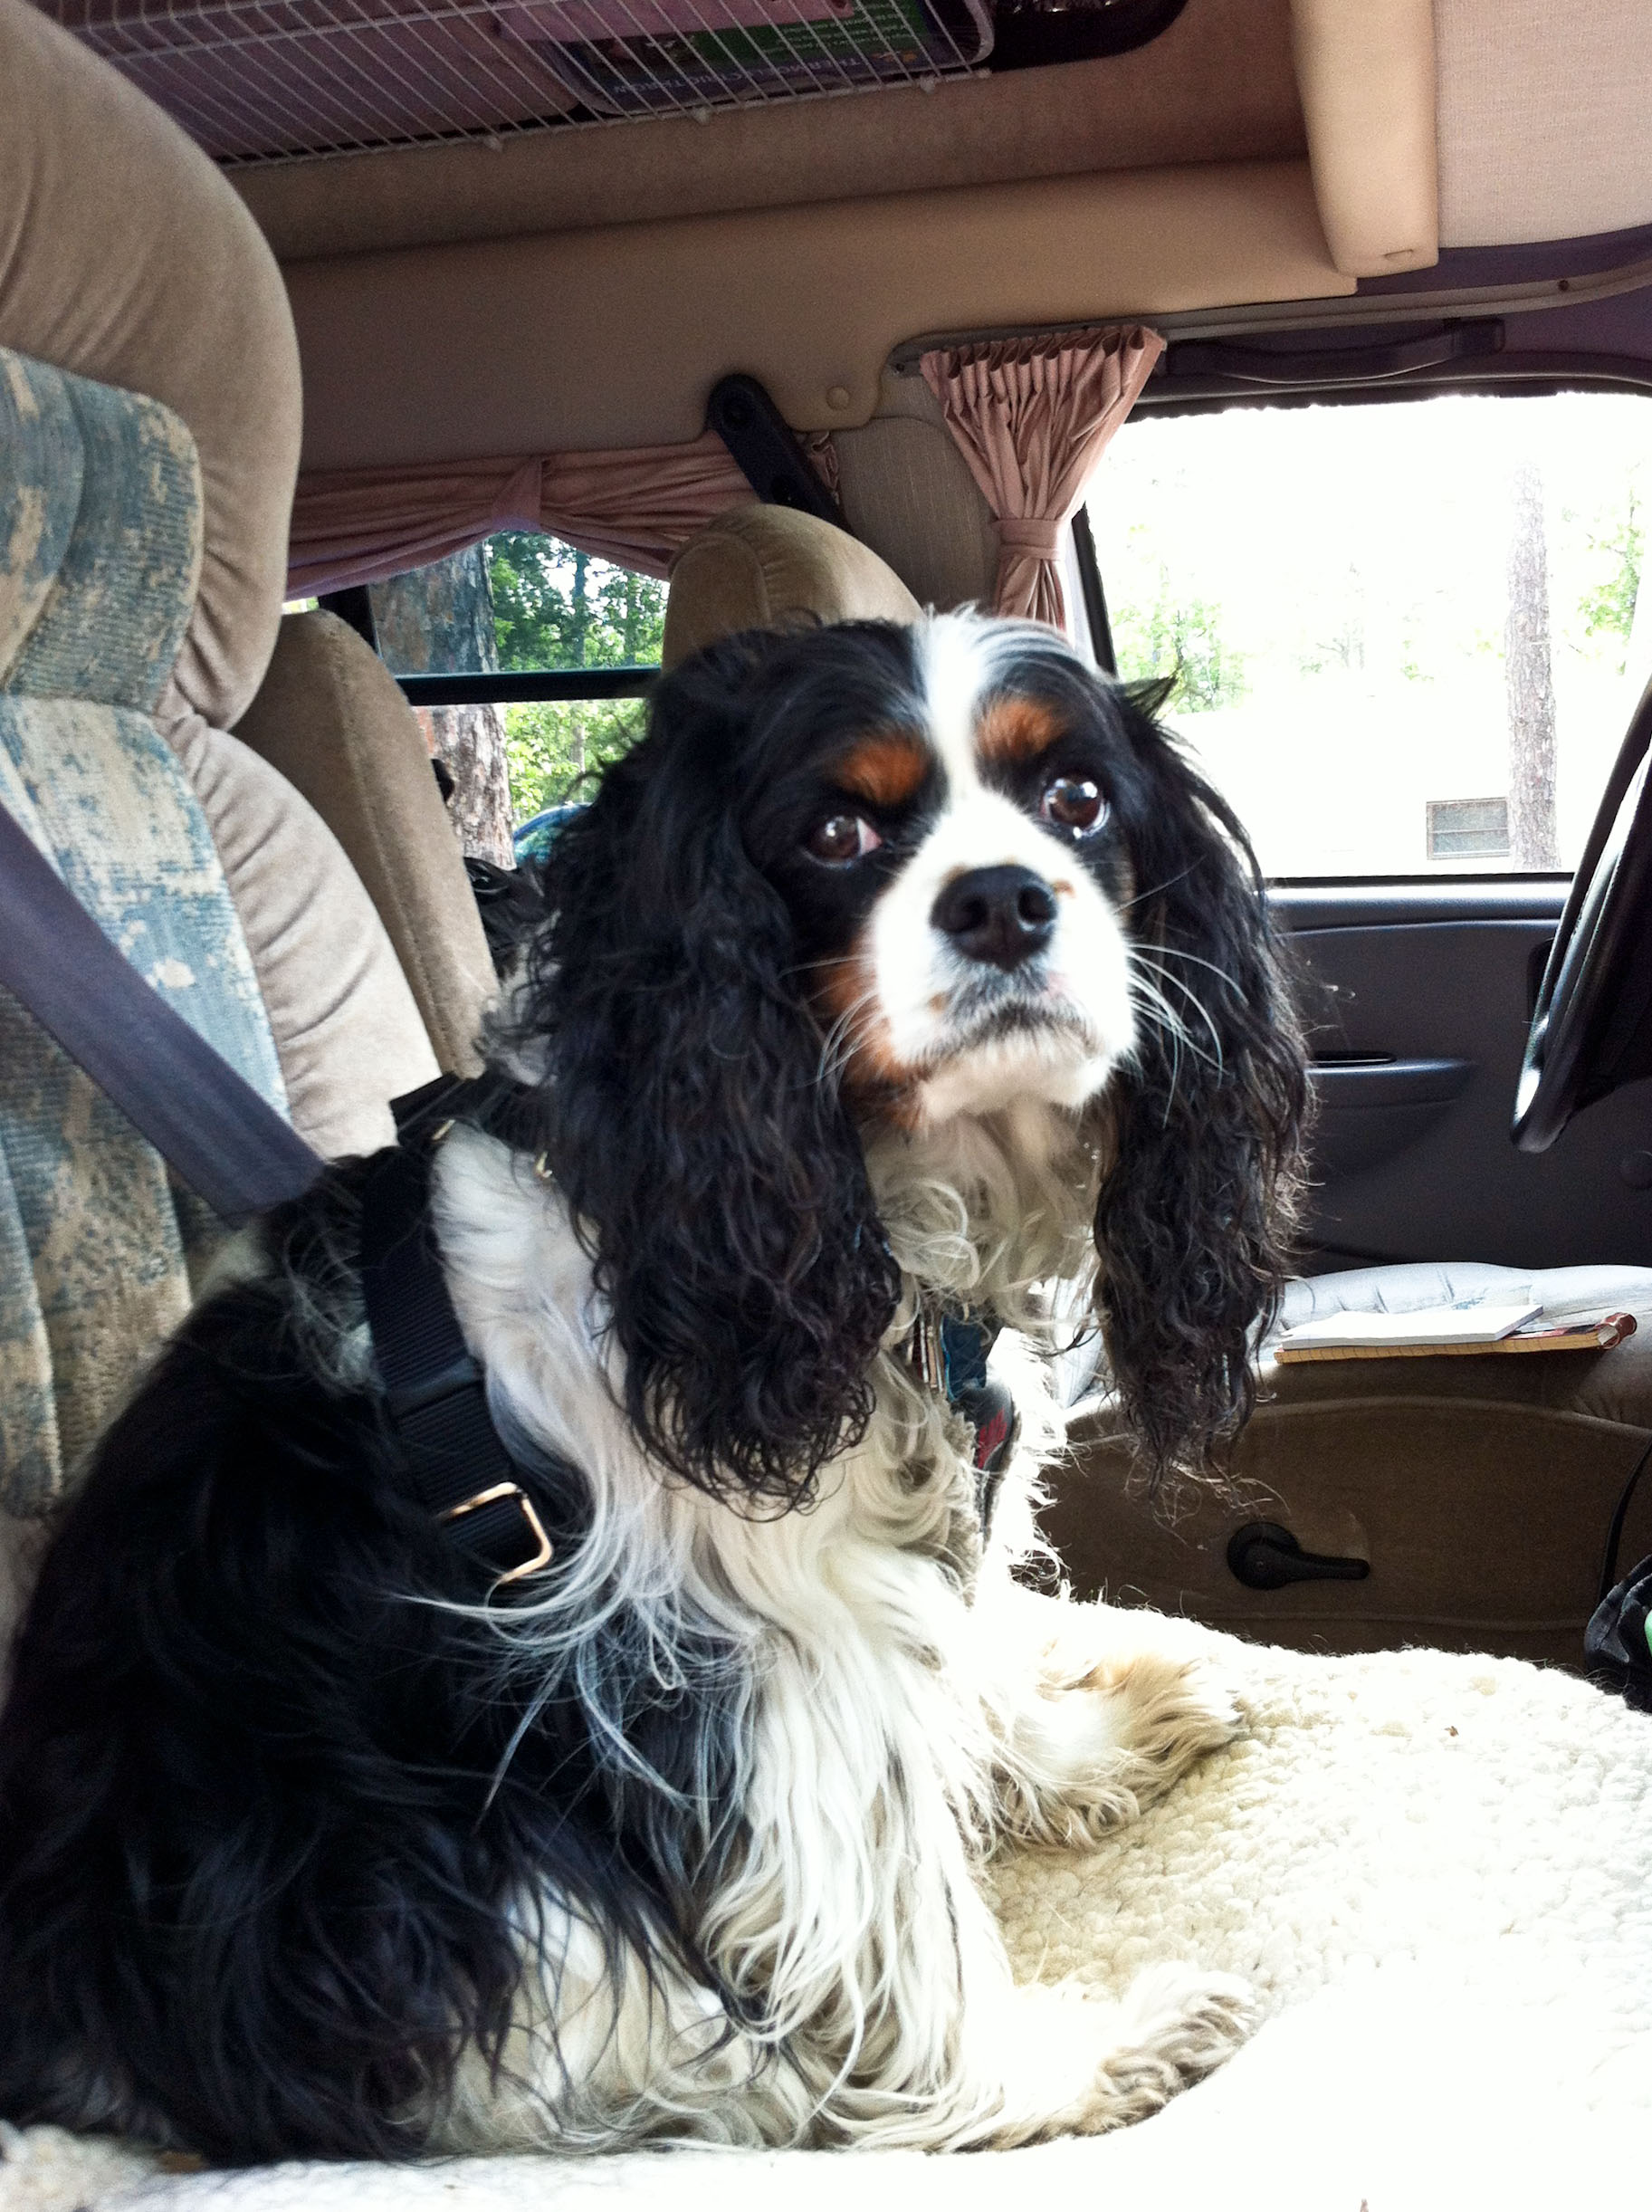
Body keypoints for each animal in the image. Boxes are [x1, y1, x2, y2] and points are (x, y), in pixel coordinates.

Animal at [0, 612, 1305, 2165]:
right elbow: (888, 1884)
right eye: (834, 829)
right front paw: (1046, 2065)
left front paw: (1080, 1740)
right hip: (421, 1867)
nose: (1001, 899)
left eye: (1079, 801)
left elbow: (964, 1667)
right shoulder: (755, 1647)